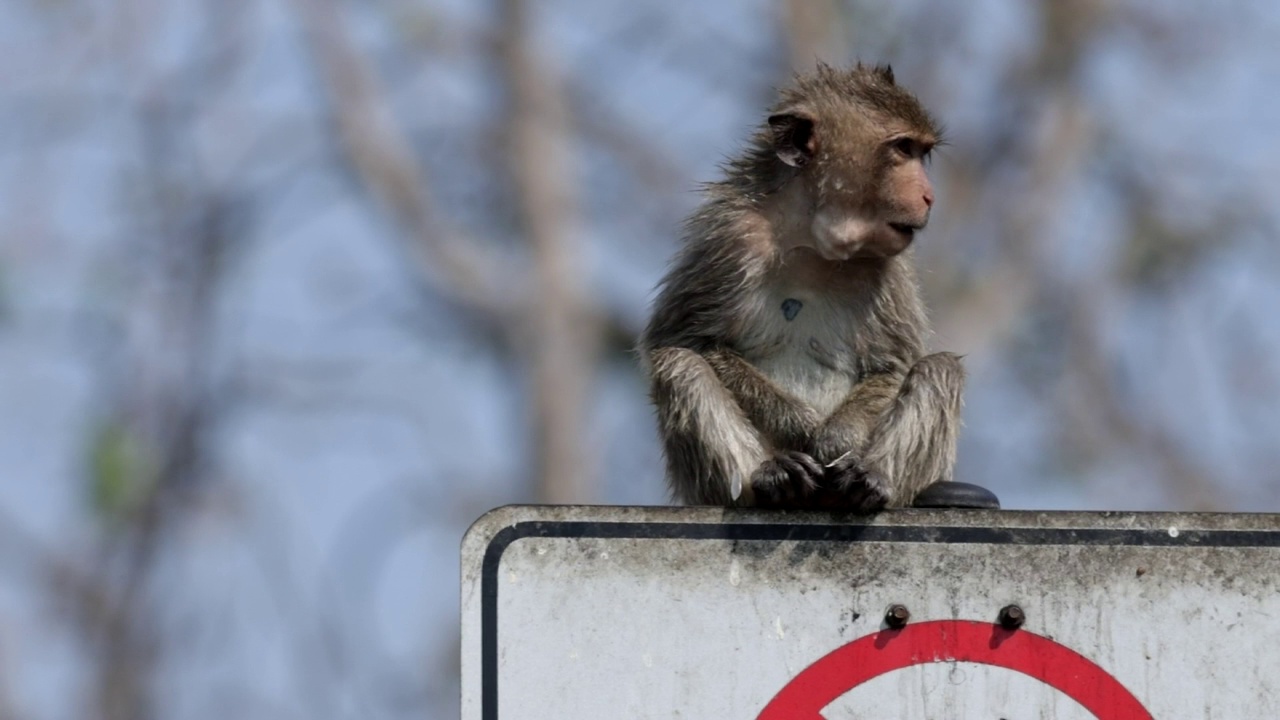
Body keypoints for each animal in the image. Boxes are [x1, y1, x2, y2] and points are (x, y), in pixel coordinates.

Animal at [637, 63, 962, 509]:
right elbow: (681, 339)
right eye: (902, 149)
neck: (813, 241)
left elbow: (893, 363)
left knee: (940, 368)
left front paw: (835, 438)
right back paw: (773, 479)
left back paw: (867, 482)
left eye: (920, 151)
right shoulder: (731, 238)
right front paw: (799, 427)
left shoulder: (890, 267)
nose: (929, 196)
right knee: (679, 364)